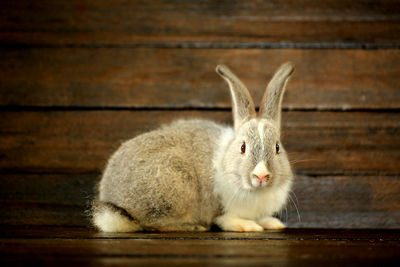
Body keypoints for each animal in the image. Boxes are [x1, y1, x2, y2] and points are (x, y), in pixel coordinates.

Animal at [93, 62, 294, 232]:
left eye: (277, 148)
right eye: (243, 147)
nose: (261, 175)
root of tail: (114, 202)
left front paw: (272, 223)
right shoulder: (221, 208)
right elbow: (225, 219)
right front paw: (249, 226)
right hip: (175, 186)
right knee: (152, 223)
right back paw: (193, 227)